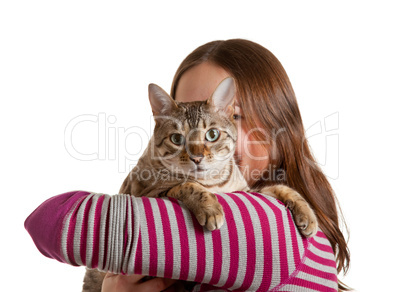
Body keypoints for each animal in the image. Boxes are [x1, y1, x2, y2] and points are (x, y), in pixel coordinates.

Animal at [83, 77, 318, 292]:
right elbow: (186, 185)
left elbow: (280, 188)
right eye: (177, 139)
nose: (197, 158)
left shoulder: (247, 191)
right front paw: (210, 208)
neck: (213, 181)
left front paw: (306, 213)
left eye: (212, 134)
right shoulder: (147, 194)